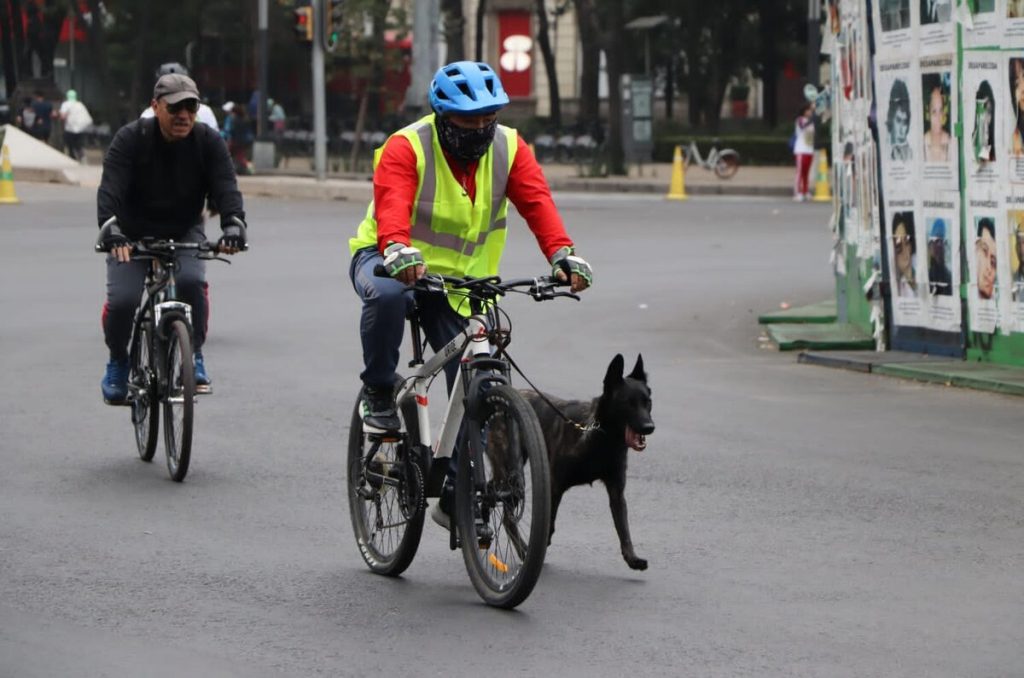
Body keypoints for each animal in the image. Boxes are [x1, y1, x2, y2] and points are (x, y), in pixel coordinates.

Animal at [520, 356, 655, 573]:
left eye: (647, 402)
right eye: (628, 403)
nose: (649, 427)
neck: (603, 440)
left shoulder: (617, 492)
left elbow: (624, 529)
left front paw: (632, 557)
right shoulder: (554, 486)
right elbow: (549, 523)